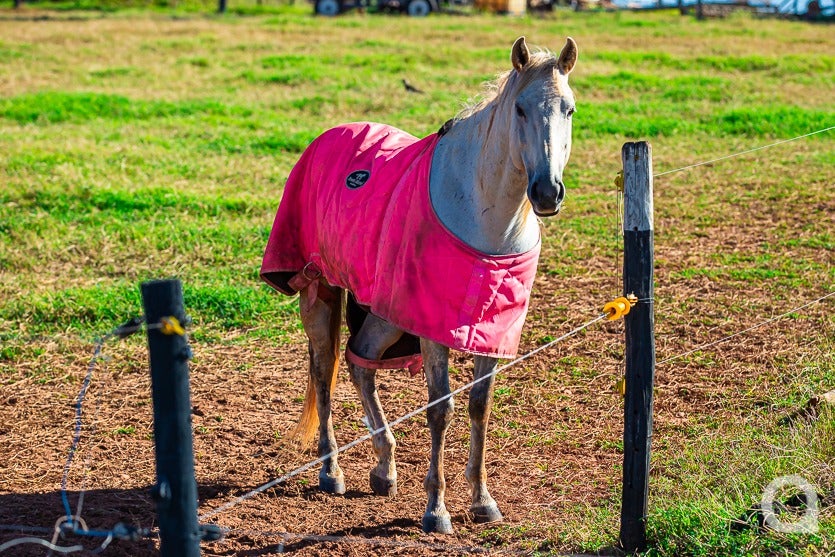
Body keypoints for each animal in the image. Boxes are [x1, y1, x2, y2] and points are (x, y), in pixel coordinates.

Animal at [260, 36, 578, 534]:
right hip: (322, 291)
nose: (547, 192)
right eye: (520, 109)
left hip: (386, 315)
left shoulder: (491, 332)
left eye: (569, 109)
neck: (483, 216)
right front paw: (436, 509)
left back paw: (384, 467)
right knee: (325, 370)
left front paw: (482, 501)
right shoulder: (432, 330)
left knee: (361, 363)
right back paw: (332, 471)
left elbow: (480, 406)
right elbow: (440, 409)